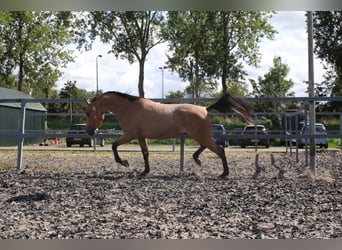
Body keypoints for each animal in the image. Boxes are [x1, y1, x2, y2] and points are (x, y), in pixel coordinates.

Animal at [84, 91, 252, 178]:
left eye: (88, 112)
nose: (89, 132)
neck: (128, 108)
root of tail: (205, 109)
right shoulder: (140, 136)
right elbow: (144, 153)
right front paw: (144, 170)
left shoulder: (132, 134)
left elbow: (115, 146)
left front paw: (126, 163)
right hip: (197, 135)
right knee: (207, 147)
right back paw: (198, 160)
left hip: (200, 135)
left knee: (219, 149)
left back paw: (224, 173)